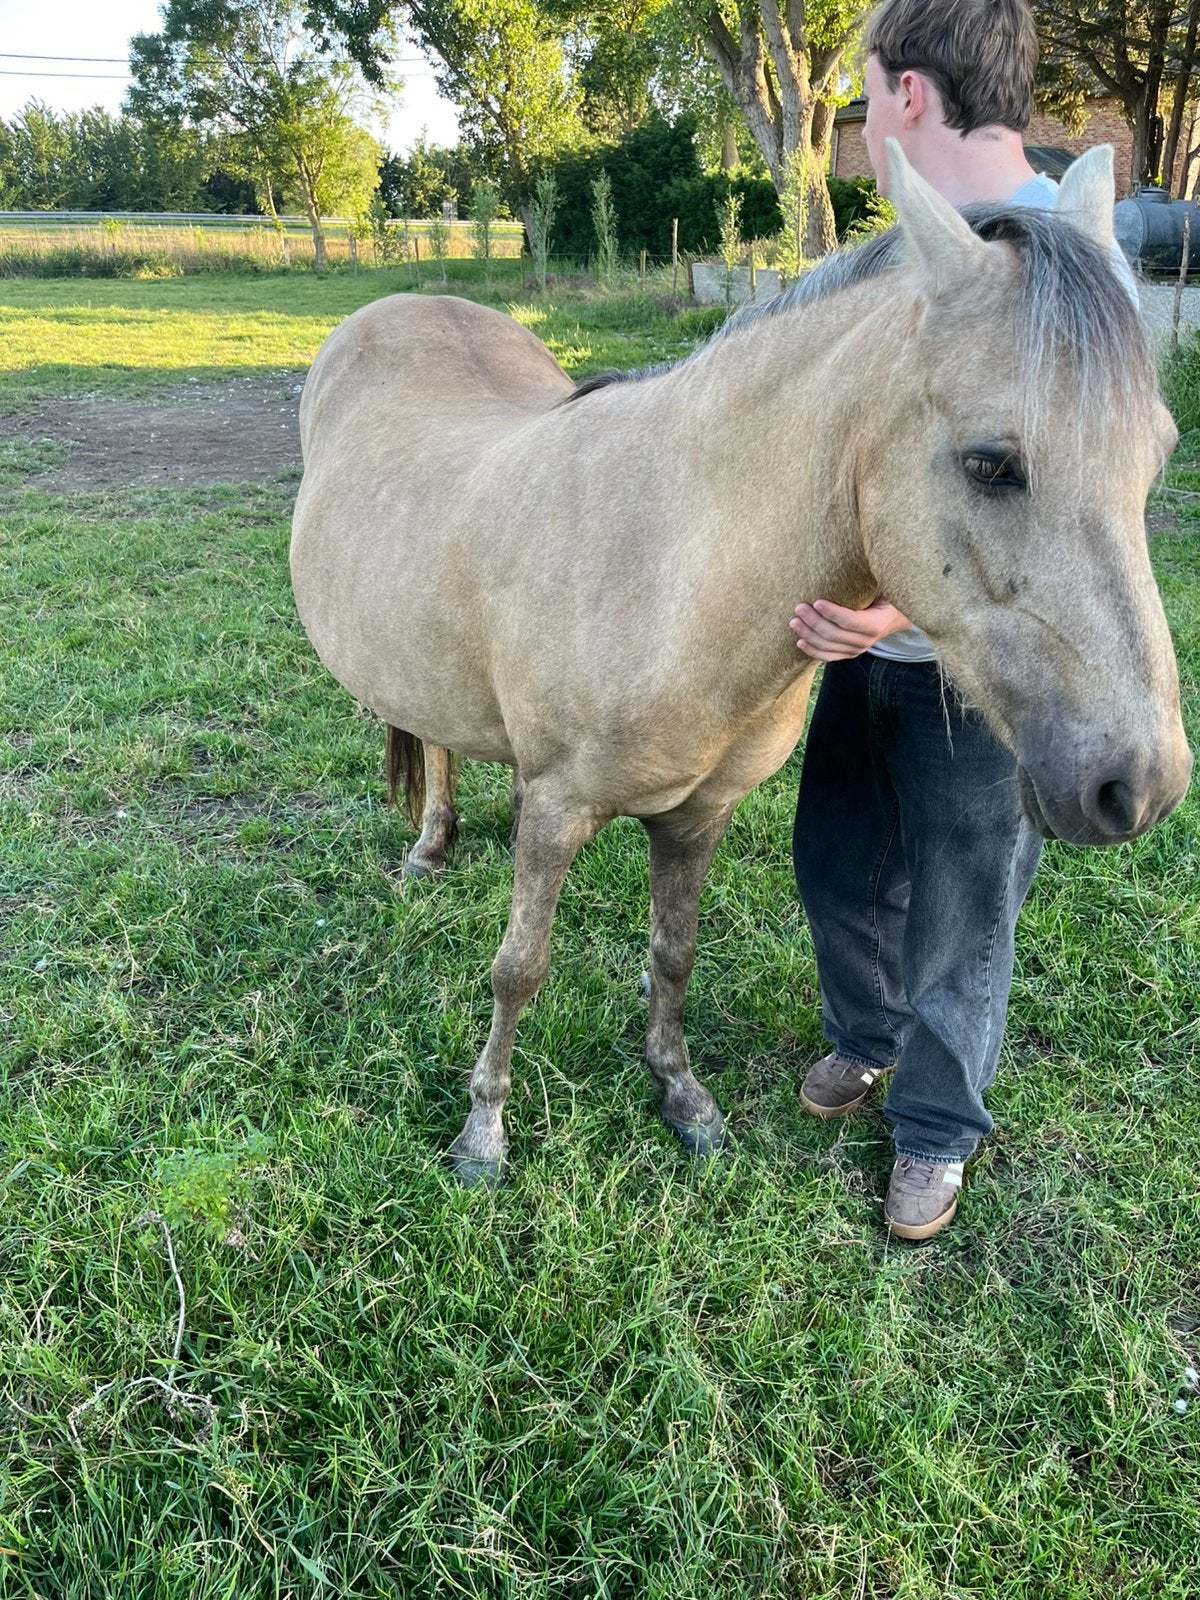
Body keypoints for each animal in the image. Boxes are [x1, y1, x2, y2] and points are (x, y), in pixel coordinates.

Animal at [290, 142, 1192, 1185]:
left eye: (1157, 454)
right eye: (991, 464)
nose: (1143, 786)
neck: (666, 562)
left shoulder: (697, 816)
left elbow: (672, 956)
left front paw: (683, 1100)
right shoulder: (553, 808)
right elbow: (520, 968)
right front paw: (484, 1133)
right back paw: (429, 848)